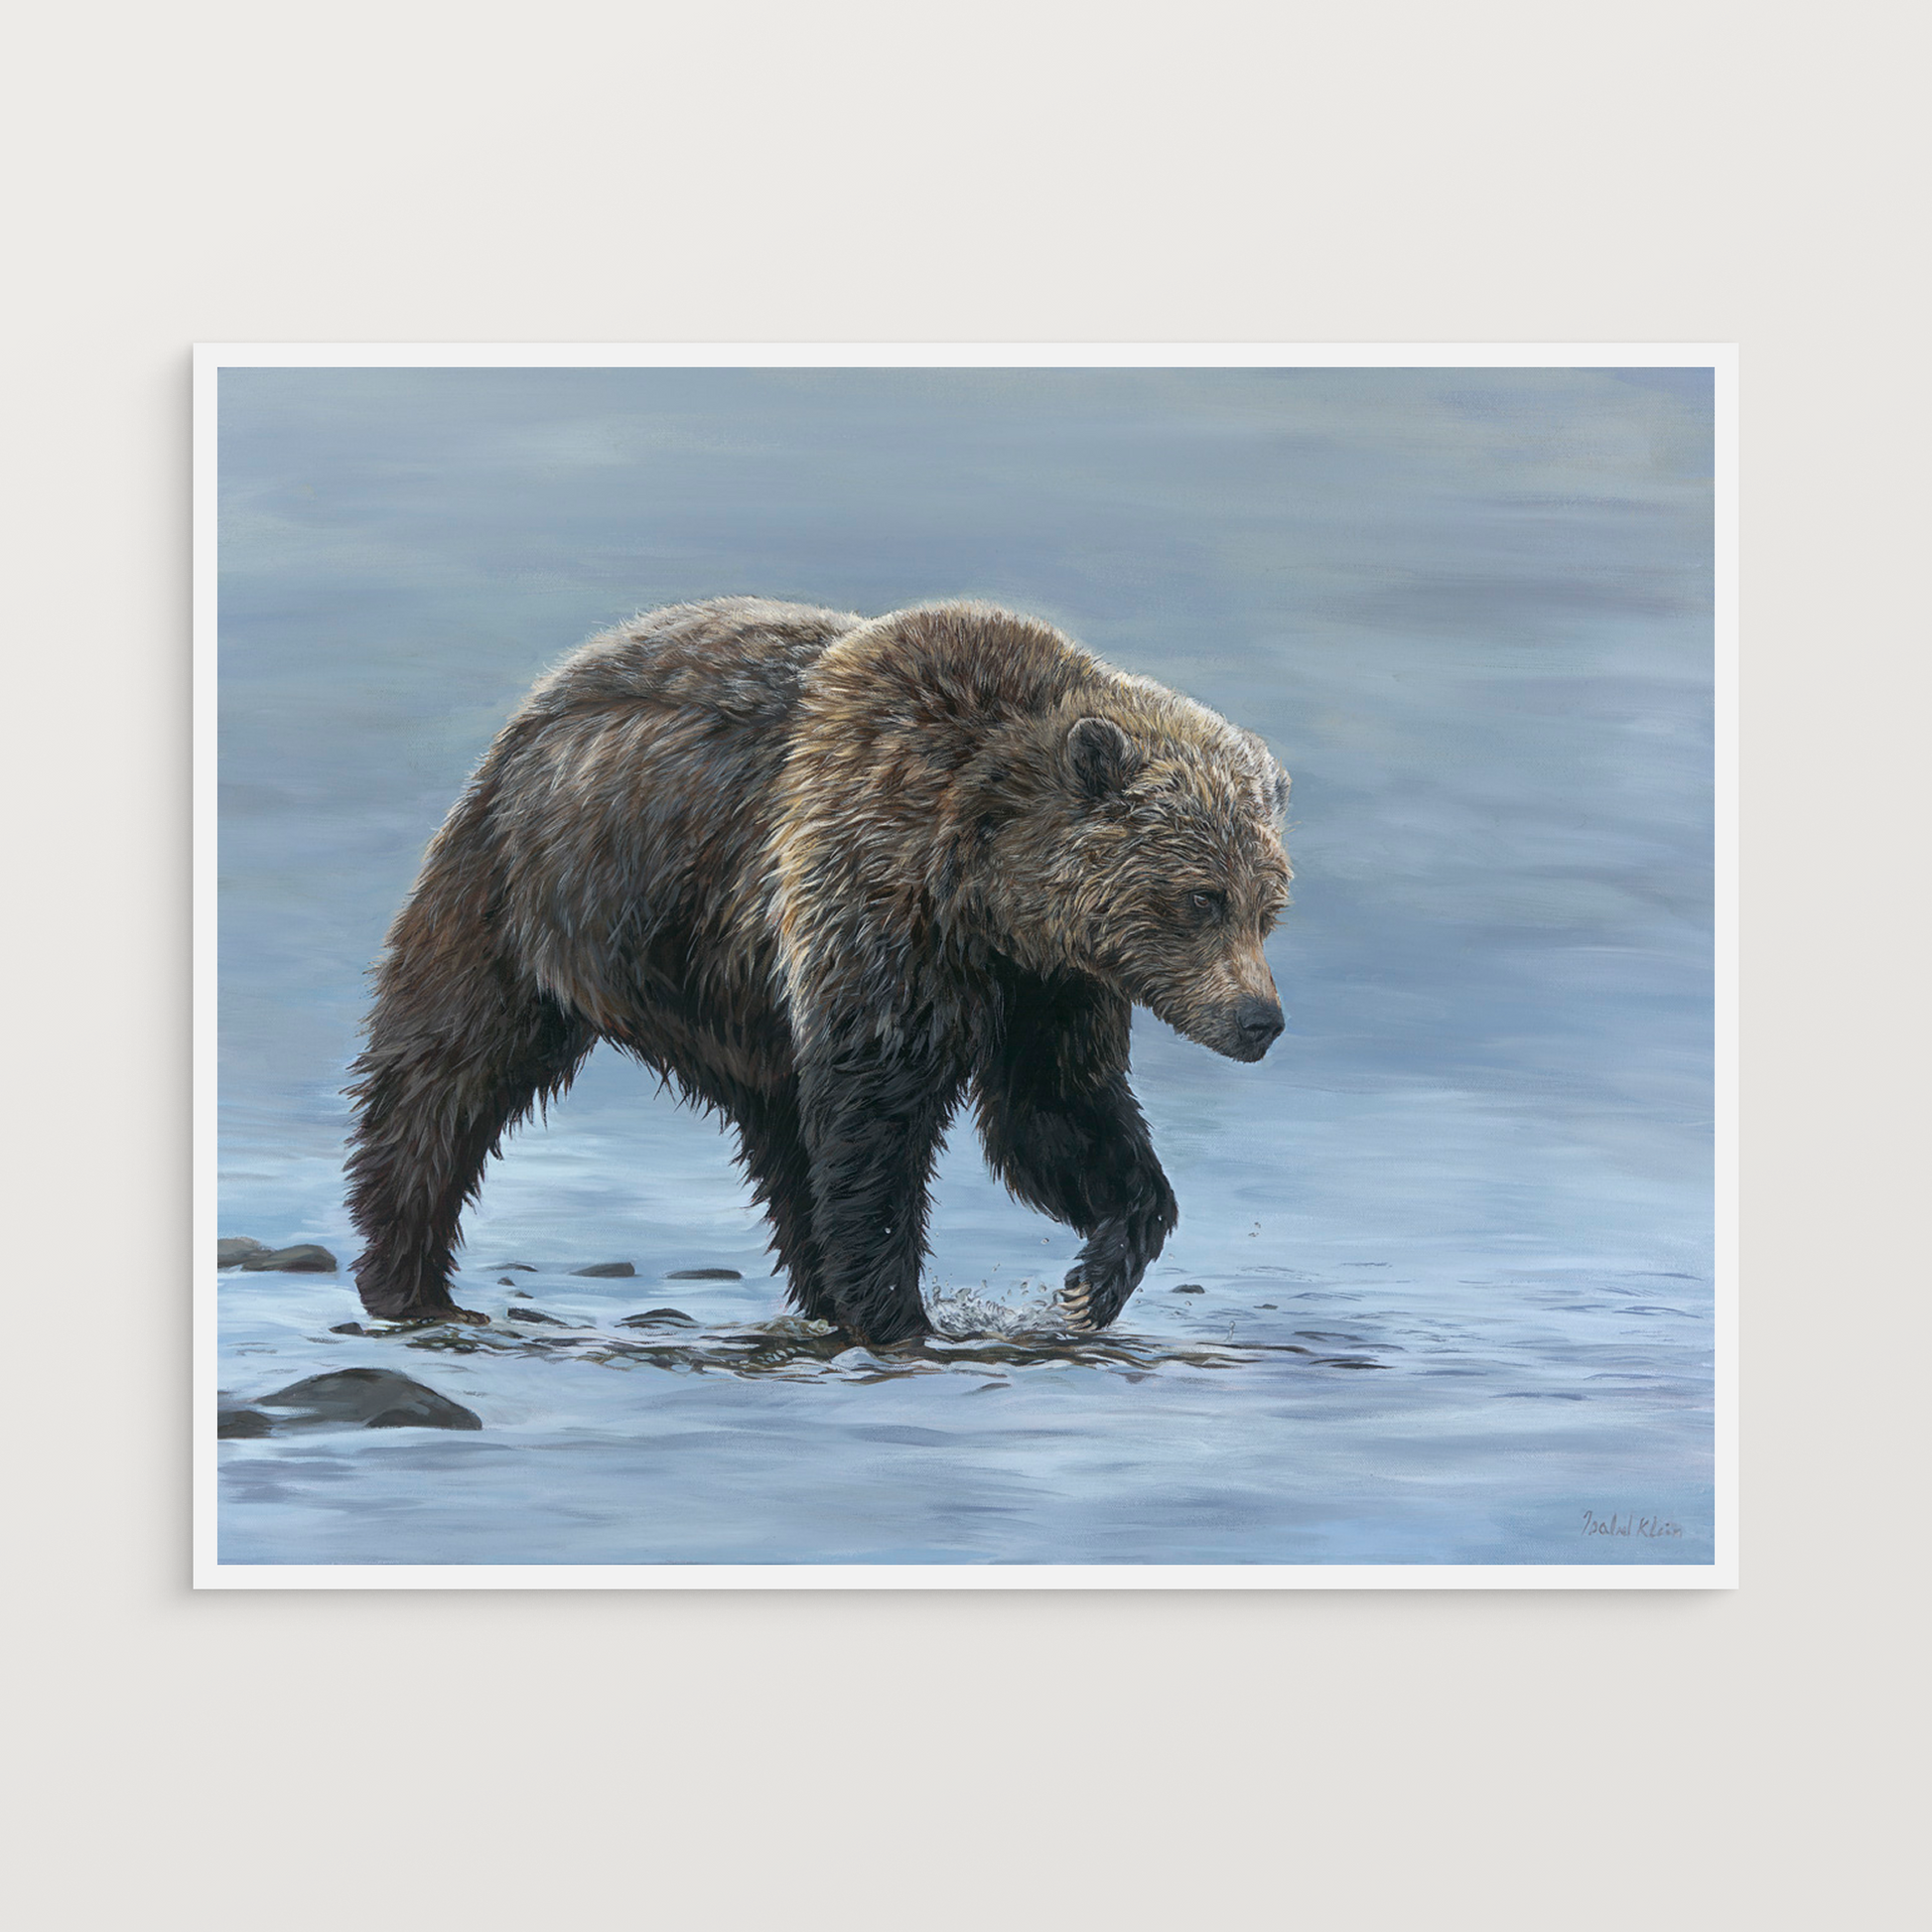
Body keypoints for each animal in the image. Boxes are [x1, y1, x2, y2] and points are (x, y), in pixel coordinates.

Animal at [344, 597, 1292, 1345]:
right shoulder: (873, 895)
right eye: (1202, 898)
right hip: (528, 895)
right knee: (445, 1077)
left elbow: (1053, 1113)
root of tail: (536, 705)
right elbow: (878, 1117)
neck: (986, 882)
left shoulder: (1049, 987)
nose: (1261, 1020)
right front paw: (901, 1310)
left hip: (724, 994)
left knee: (785, 1139)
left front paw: (1098, 1272)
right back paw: (408, 1279)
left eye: (1268, 905)